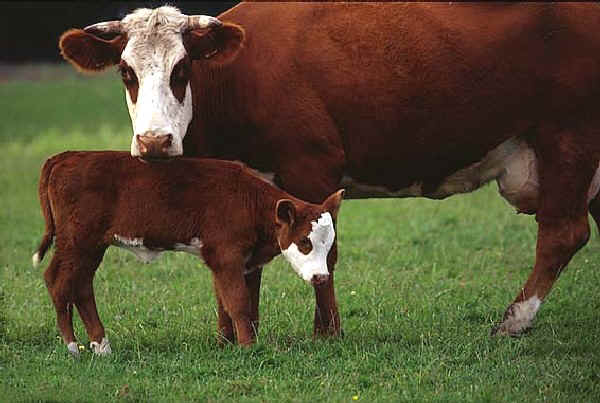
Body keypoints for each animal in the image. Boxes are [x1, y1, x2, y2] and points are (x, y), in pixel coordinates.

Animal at [32, 150, 344, 356]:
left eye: (329, 245)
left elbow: (228, 303)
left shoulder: (227, 261)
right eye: (304, 241)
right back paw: (73, 347)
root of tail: (66, 156)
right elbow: (239, 302)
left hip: (91, 246)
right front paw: (248, 348)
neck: (247, 200)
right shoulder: (226, 256)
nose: (321, 277)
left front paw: (225, 344)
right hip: (77, 242)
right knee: (58, 281)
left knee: (82, 286)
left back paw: (101, 346)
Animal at [59, 3, 600, 338]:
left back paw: (514, 321)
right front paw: (239, 332)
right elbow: (245, 266)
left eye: (182, 68)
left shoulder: (314, 169)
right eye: (126, 72)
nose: (154, 142)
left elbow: (327, 255)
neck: (239, 79)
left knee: (563, 234)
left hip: (569, 137)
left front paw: (327, 332)